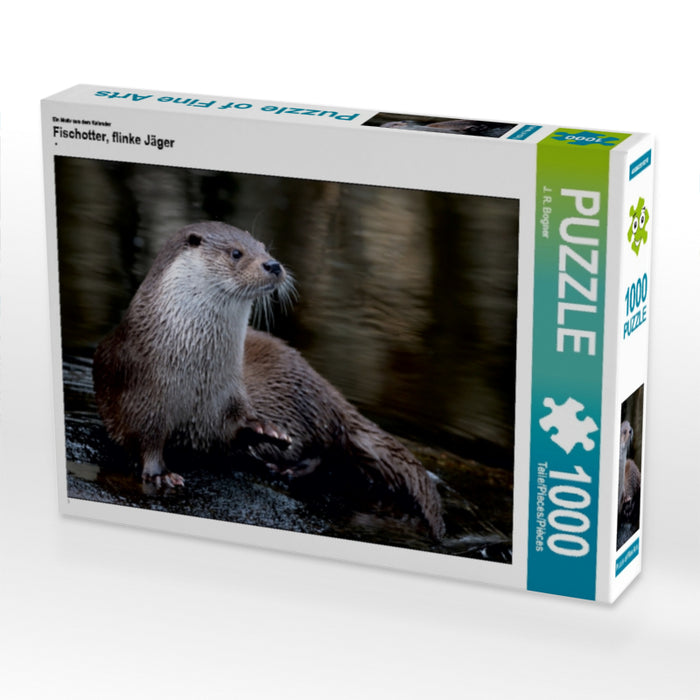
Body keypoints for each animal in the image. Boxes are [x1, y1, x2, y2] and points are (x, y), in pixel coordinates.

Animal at [93, 221, 445, 538]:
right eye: (237, 252)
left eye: (265, 248)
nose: (273, 264)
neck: (194, 376)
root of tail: (327, 389)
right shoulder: (142, 394)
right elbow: (145, 440)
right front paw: (160, 474)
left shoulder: (229, 398)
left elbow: (234, 428)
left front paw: (267, 430)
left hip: (310, 402)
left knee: (330, 446)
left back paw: (288, 467)